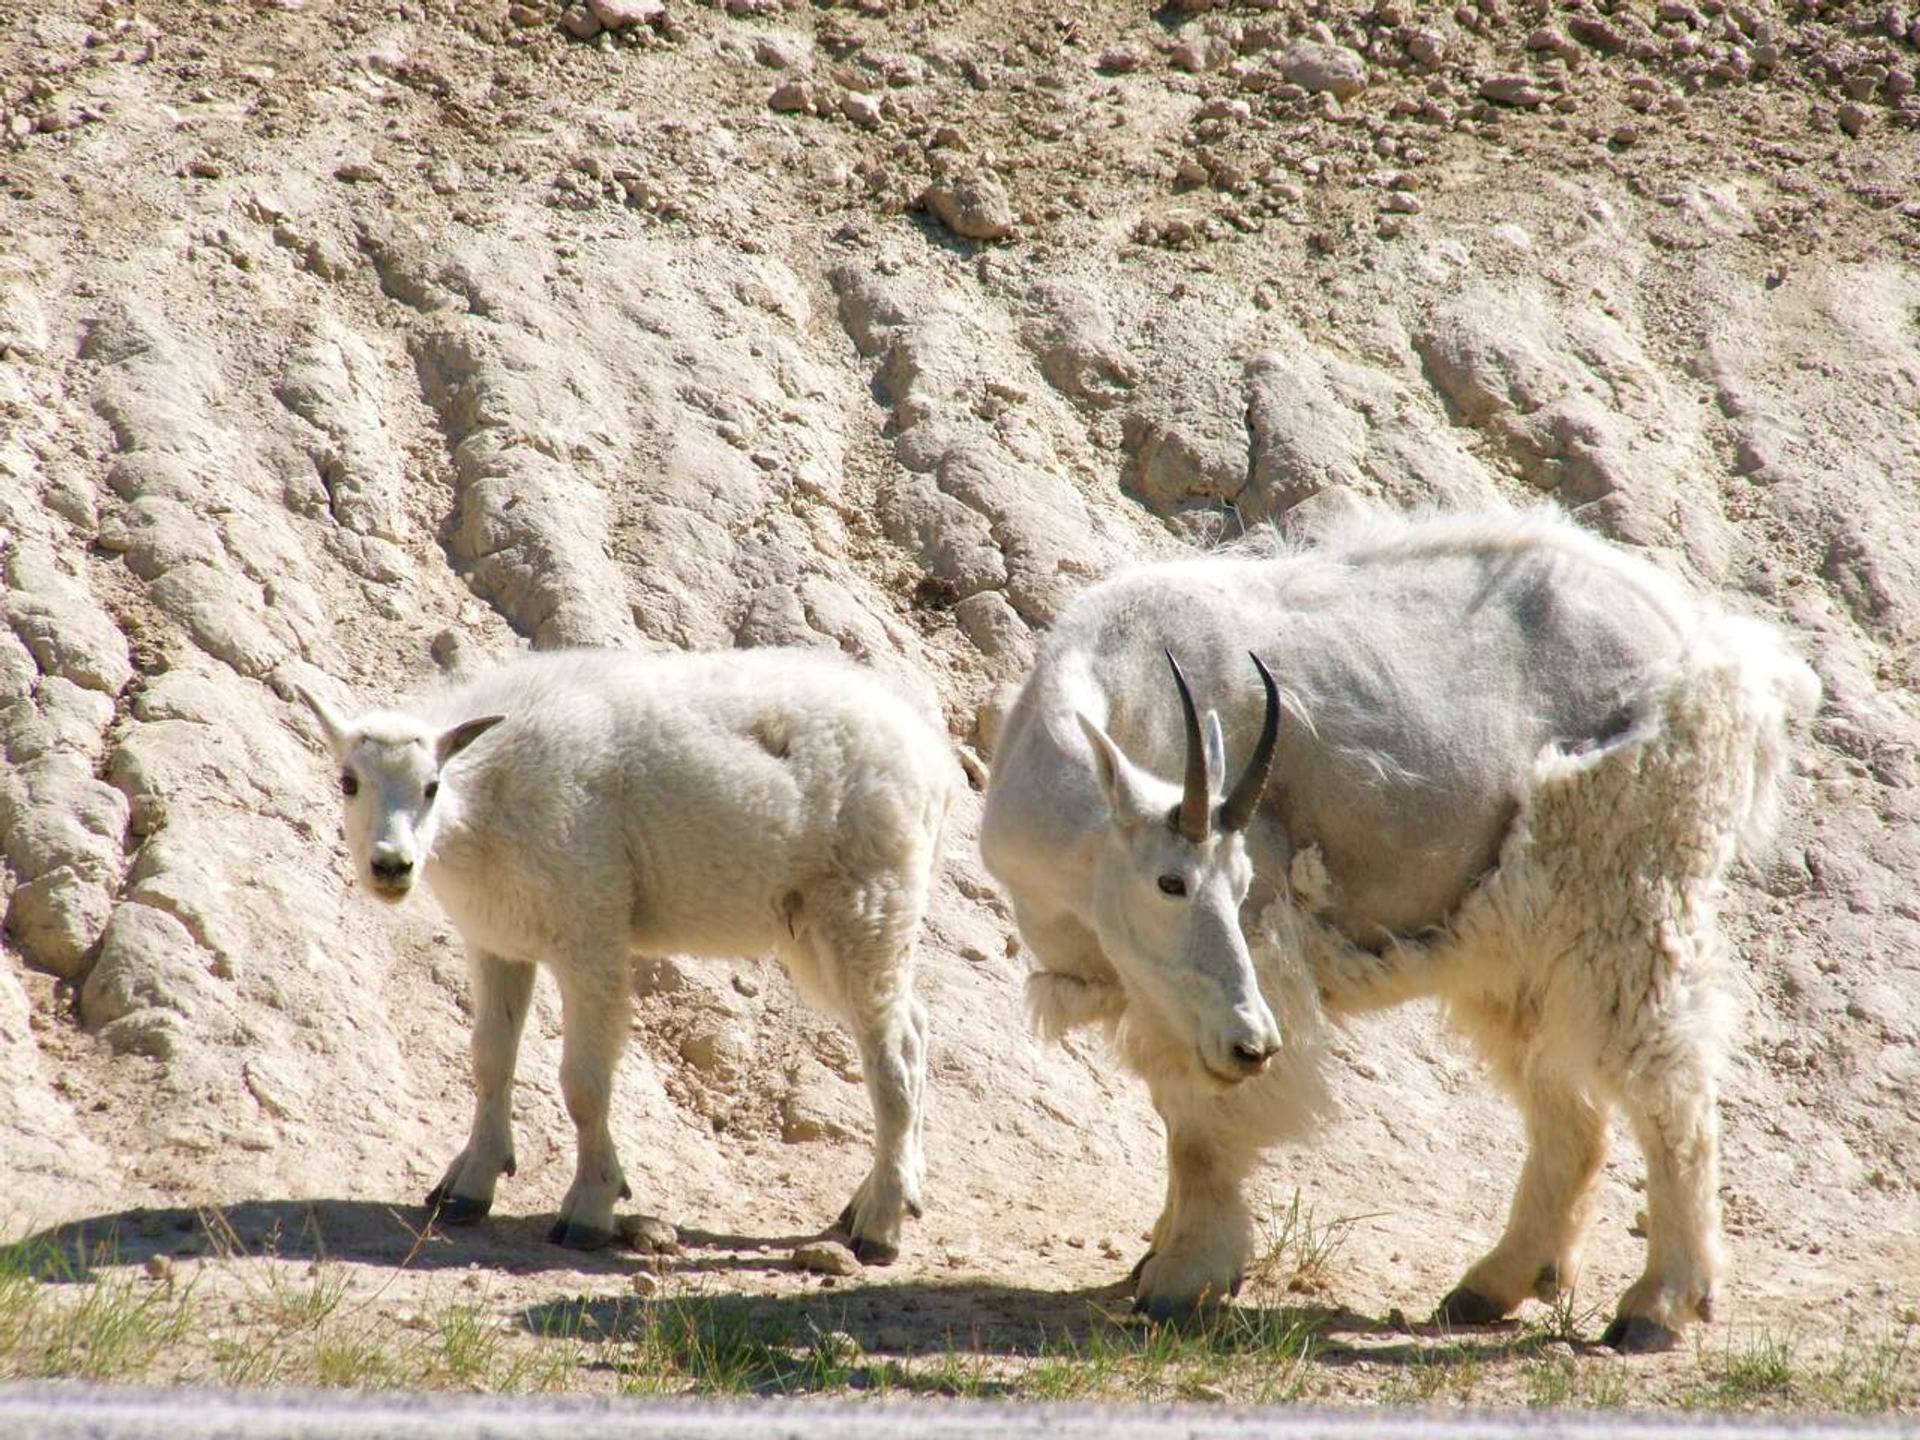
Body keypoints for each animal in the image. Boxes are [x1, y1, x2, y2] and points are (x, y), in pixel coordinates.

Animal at [297, 647, 957, 1262]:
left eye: (431, 787)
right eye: (348, 782)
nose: (391, 867)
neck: (487, 802)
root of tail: (935, 756)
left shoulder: (590, 932)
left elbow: (583, 1083)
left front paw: (590, 1207)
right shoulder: (497, 941)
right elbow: (488, 1059)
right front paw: (469, 1186)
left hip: (866, 904)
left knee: (892, 1055)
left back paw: (880, 1224)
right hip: (830, 929)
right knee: (916, 1024)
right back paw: (886, 1195)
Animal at [980, 507, 1819, 1350]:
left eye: (1243, 881)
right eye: (1171, 882)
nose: (1254, 1044)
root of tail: (1710, 648)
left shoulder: (1253, 963)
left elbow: (1201, 1129)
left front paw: (1185, 1280)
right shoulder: (1162, 994)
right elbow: (1174, 1103)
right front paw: (1155, 1254)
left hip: (1627, 890)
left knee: (1669, 1083)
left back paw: (1658, 1304)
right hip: (1516, 950)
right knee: (1573, 1116)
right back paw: (1491, 1286)